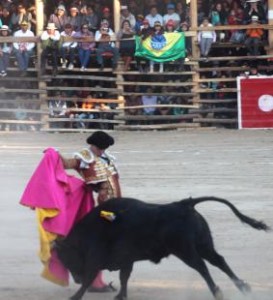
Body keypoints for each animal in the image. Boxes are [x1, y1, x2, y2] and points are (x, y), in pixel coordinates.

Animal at [56, 197, 268, 300]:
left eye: (66, 257)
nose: (75, 278)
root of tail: (184, 204)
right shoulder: (126, 260)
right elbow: (124, 277)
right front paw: (120, 296)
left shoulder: (95, 259)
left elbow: (90, 278)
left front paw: (75, 297)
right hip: (204, 245)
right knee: (219, 261)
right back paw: (243, 288)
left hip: (185, 251)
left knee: (202, 267)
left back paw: (217, 292)